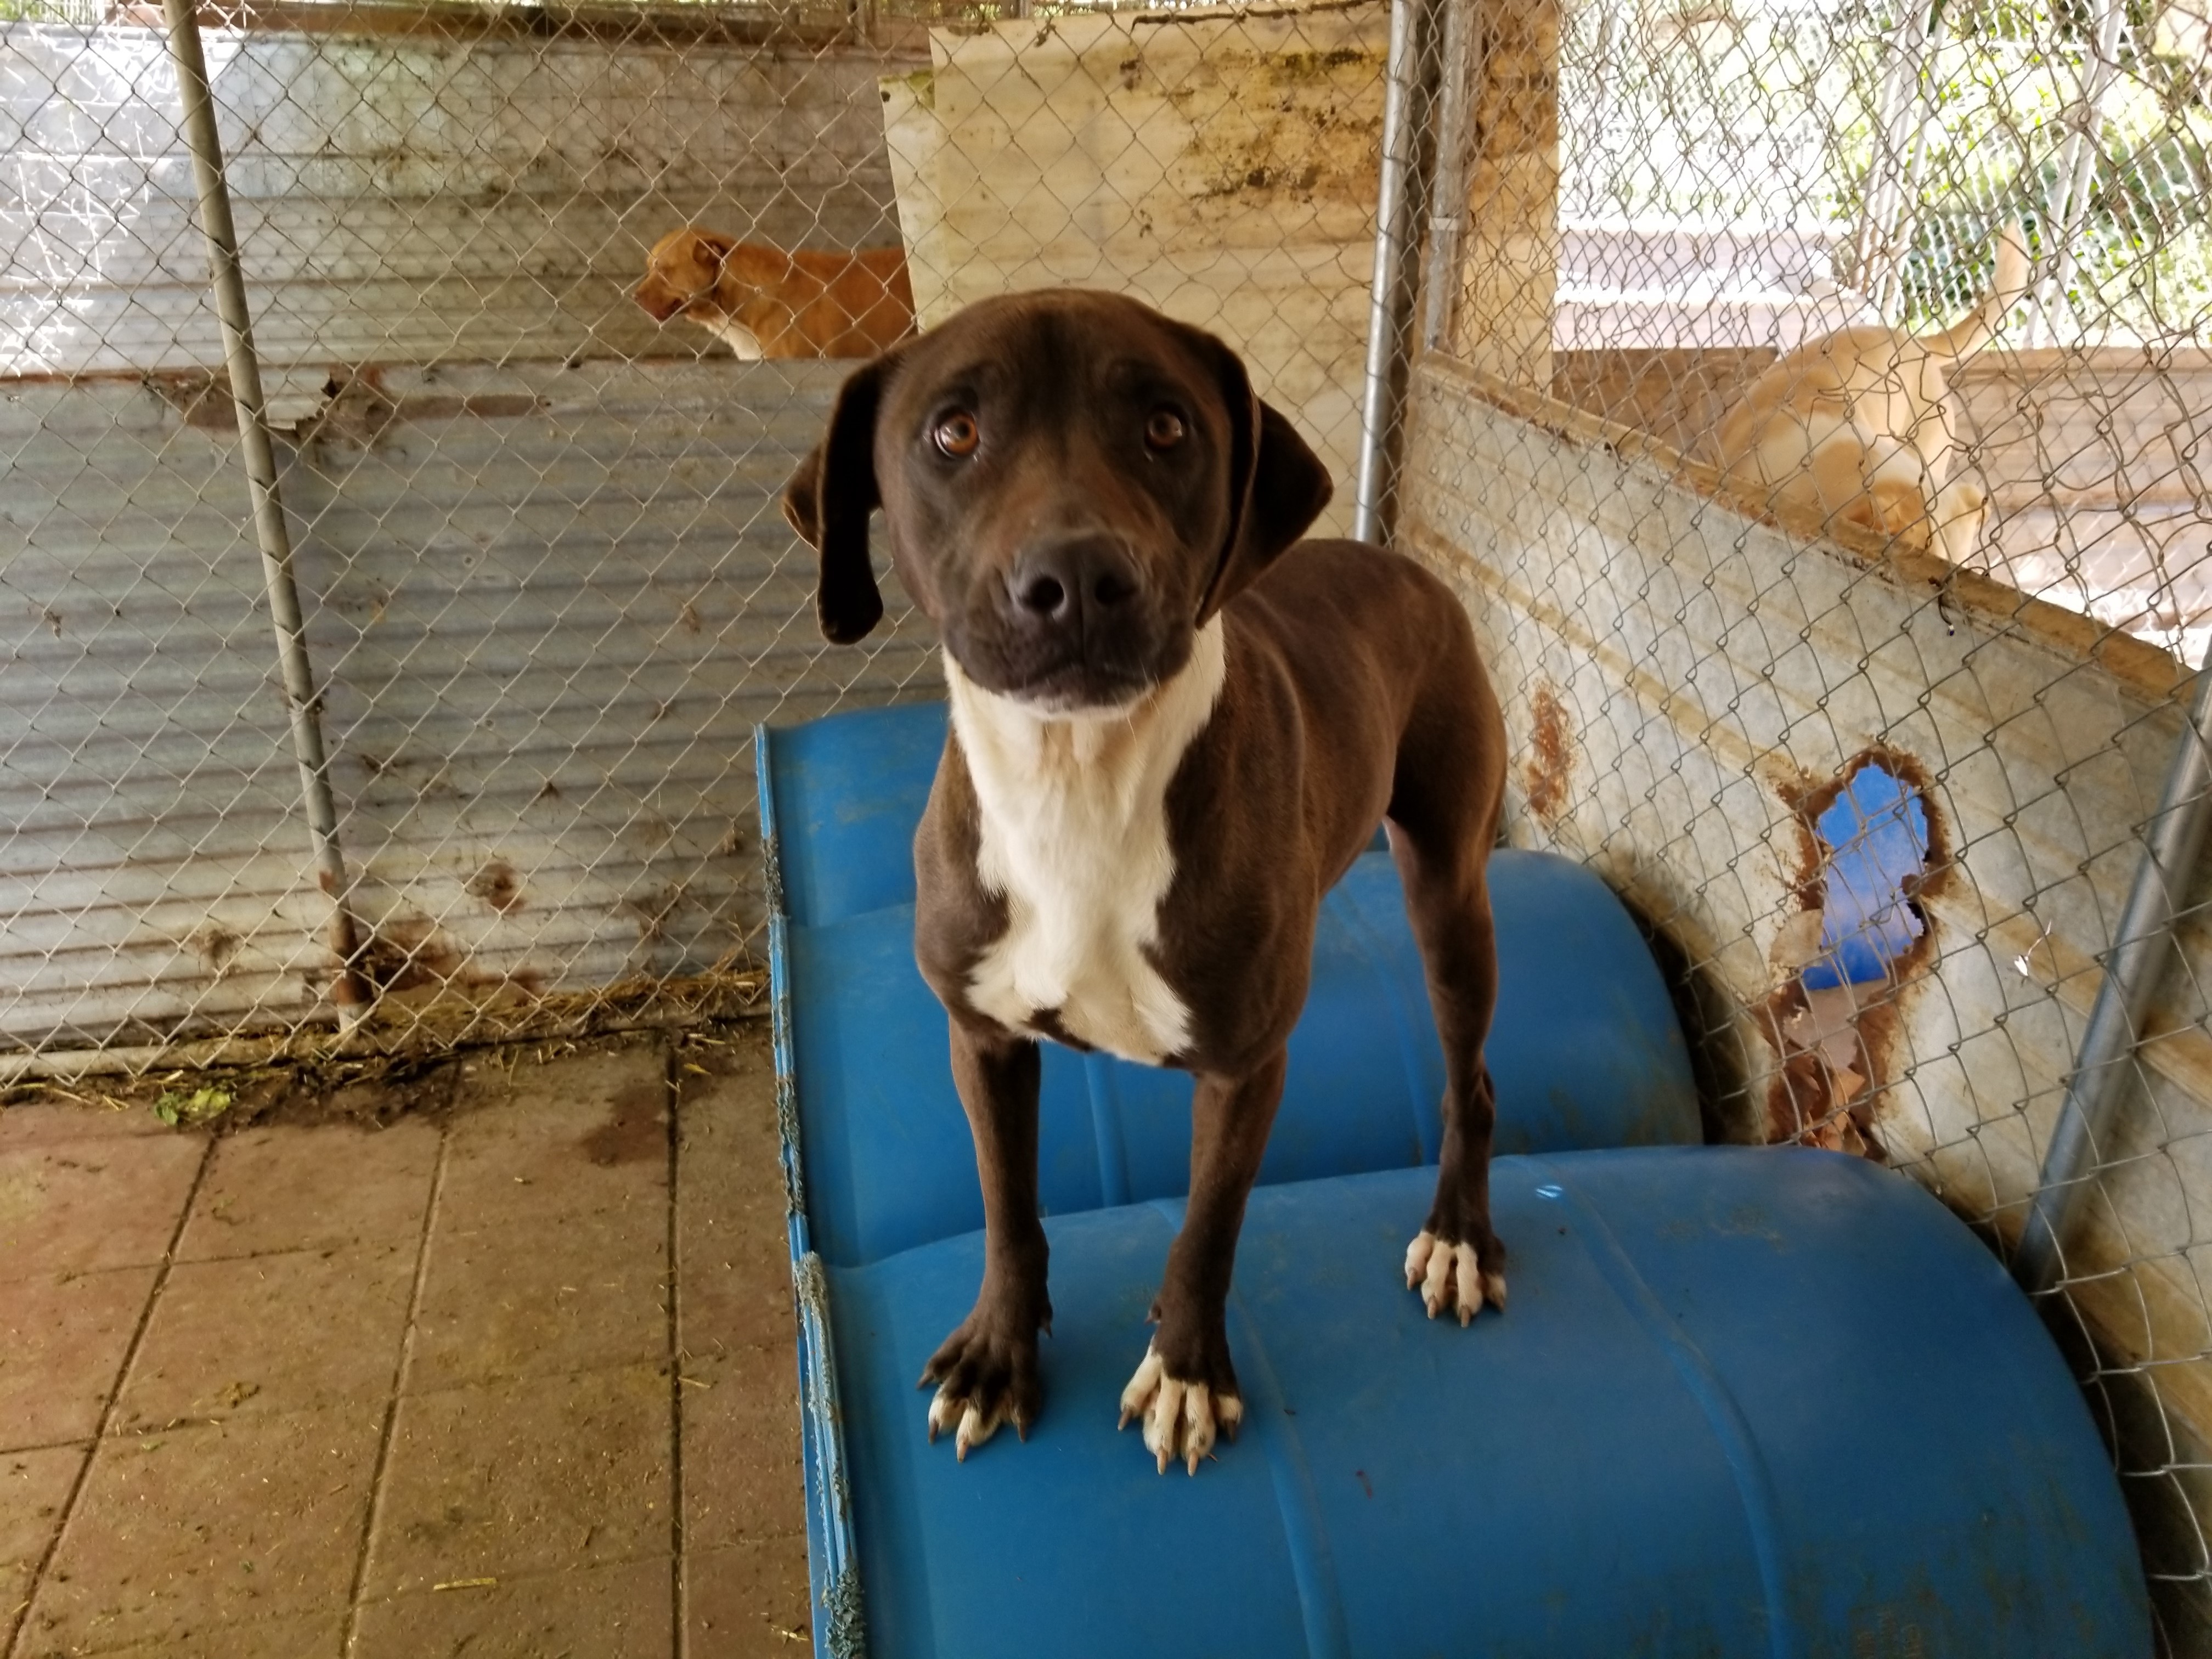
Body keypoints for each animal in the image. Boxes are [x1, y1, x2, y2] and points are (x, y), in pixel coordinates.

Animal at [778, 292, 1504, 1477]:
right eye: (953, 432)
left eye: (1167, 427)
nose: (1077, 582)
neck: (1076, 782)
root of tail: (1398, 561)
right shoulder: (980, 1036)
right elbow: (1005, 1204)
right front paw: (997, 1351)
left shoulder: (1245, 1068)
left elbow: (1207, 1227)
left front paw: (1187, 1370)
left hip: (1449, 891)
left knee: (1468, 1077)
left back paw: (1457, 1236)